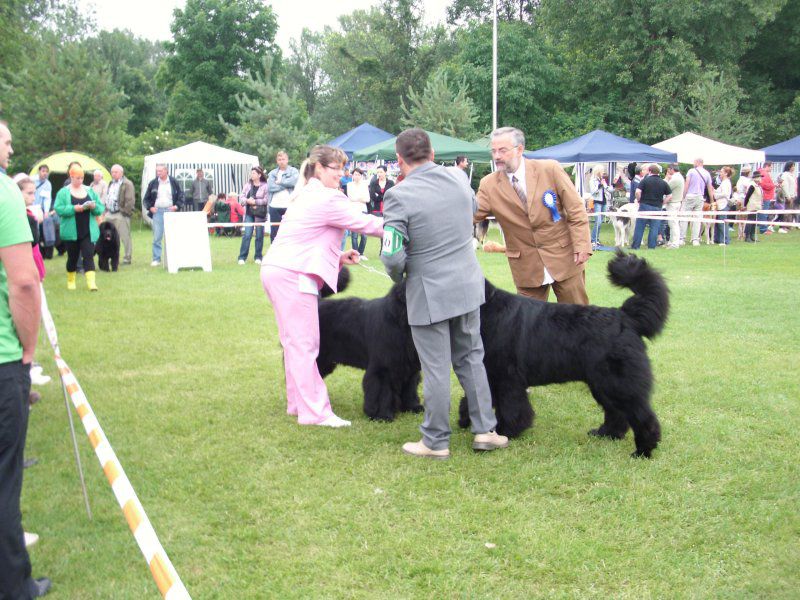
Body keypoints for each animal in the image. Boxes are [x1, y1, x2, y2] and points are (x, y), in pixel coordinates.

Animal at [318, 251, 668, 458]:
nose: (397, 300)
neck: (483, 310)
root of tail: (625, 316)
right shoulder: (485, 369)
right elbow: (475, 398)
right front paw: (469, 421)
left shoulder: (506, 376)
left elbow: (511, 406)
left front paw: (508, 430)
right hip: (603, 383)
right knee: (617, 413)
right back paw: (606, 434)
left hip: (617, 382)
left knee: (641, 415)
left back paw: (644, 449)